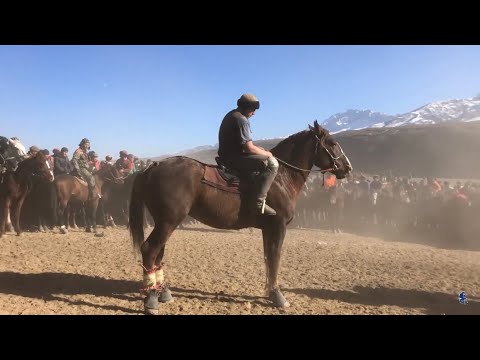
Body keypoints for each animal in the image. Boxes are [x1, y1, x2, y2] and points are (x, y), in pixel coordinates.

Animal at [128, 119, 352, 314]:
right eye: (332, 143)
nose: (348, 168)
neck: (281, 178)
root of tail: (153, 166)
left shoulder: (268, 228)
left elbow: (268, 258)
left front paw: (269, 291)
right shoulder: (278, 226)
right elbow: (275, 258)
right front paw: (277, 295)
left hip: (164, 222)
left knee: (158, 253)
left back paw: (162, 292)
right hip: (168, 221)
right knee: (149, 250)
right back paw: (151, 299)